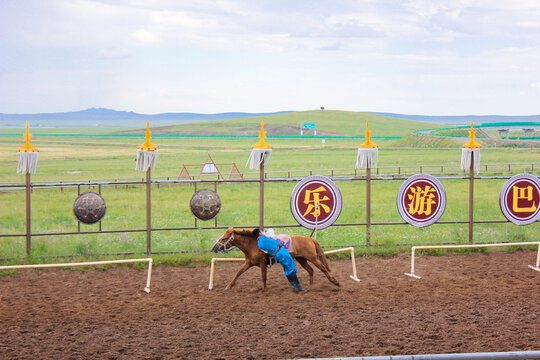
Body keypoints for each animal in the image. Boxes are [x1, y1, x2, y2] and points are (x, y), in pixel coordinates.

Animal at [210, 228, 340, 292]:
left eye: (224, 239)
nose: (213, 248)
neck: (253, 244)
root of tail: (309, 238)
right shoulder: (248, 263)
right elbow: (238, 273)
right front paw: (229, 286)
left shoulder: (262, 264)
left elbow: (263, 277)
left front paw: (264, 290)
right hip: (301, 259)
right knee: (310, 270)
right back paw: (310, 286)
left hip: (312, 258)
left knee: (323, 269)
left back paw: (335, 282)